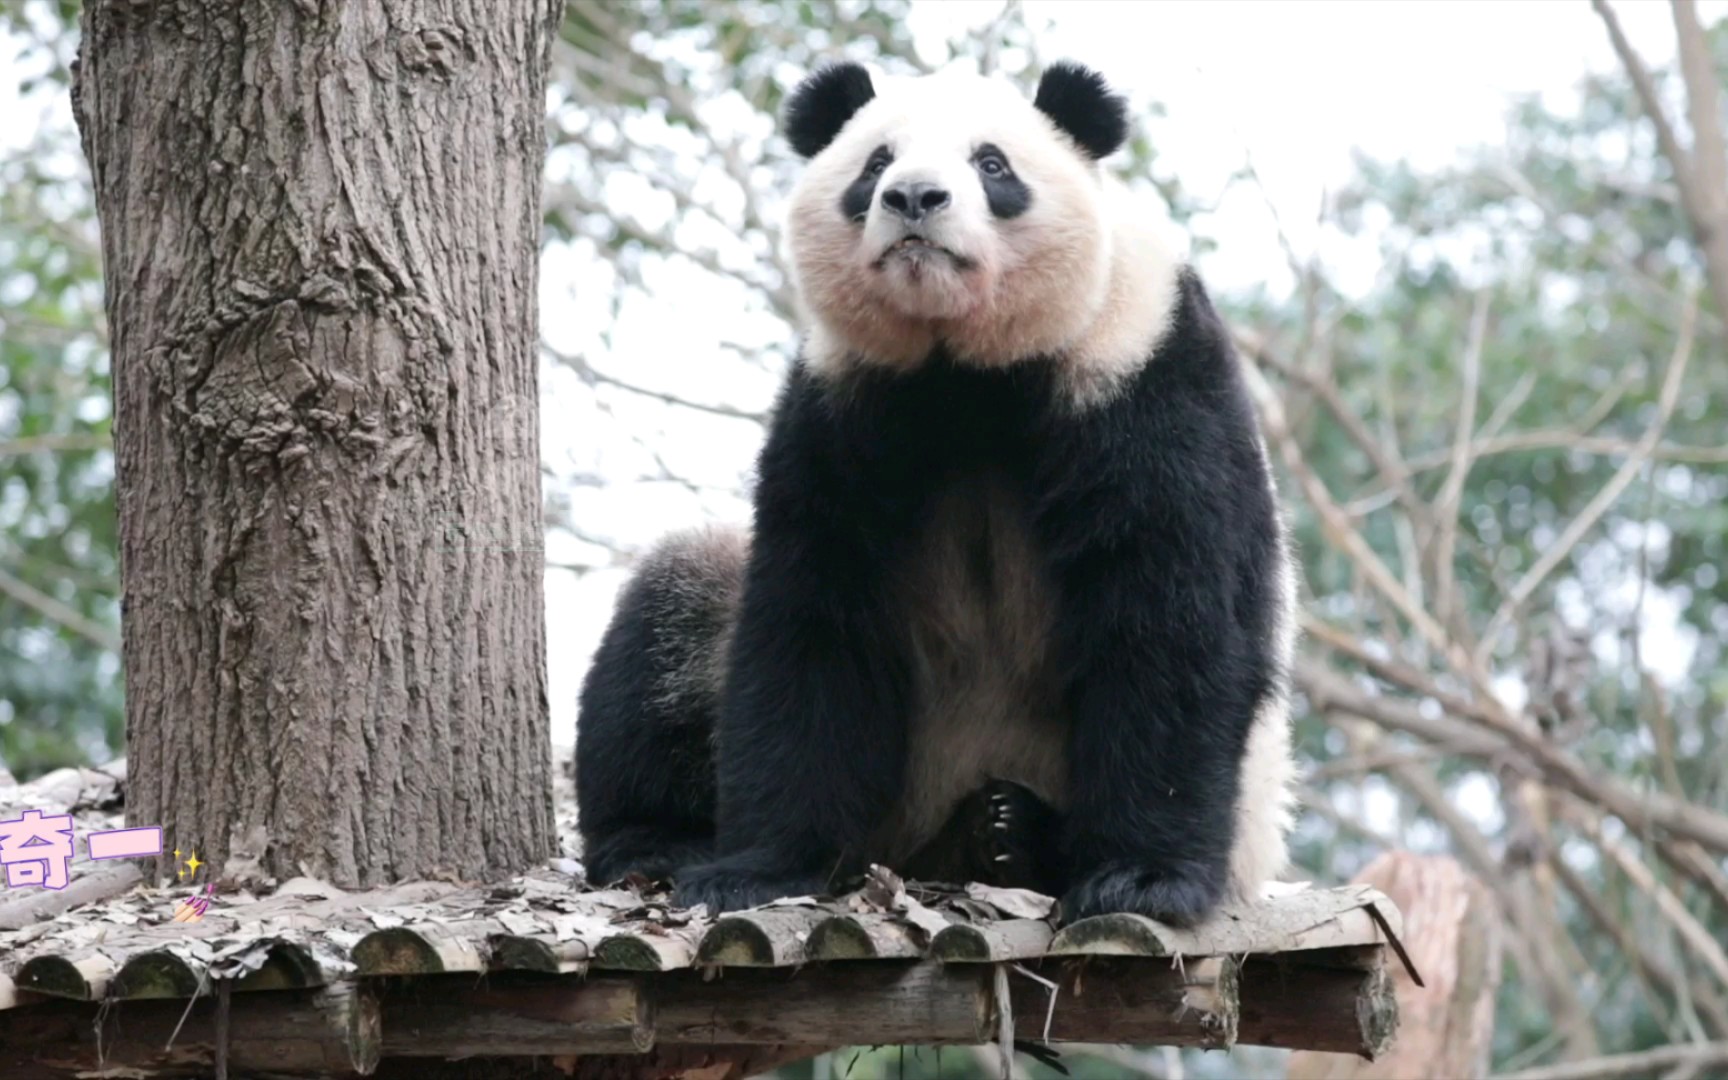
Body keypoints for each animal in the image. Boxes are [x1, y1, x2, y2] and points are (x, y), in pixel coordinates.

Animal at [580, 58, 1299, 919]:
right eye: (875, 164)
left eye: (992, 164)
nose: (916, 198)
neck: (963, 367)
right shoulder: (844, 405)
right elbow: (810, 616)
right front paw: (757, 870)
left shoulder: (1141, 369)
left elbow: (1167, 615)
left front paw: (1141, 879)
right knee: (676, 605)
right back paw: (657, 841)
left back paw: (1014, 834)